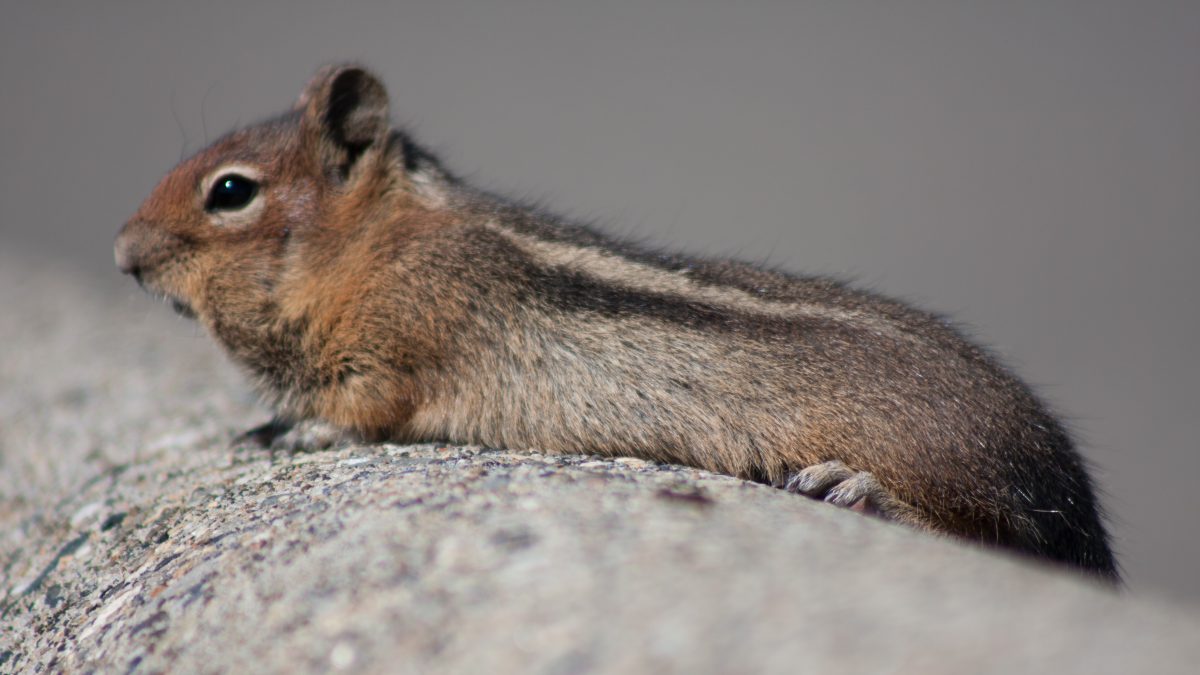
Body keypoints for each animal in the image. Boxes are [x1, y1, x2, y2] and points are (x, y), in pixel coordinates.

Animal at [117, 65, 1118, 576]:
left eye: (230, 192)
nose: (125, 253)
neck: (372, 242)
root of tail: (1073, 488)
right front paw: (266, 422)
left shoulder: (404, 341)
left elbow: (366, 409)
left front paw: (306, 431)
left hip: (958, 470)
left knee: (1012, 543)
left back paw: (859, 490)